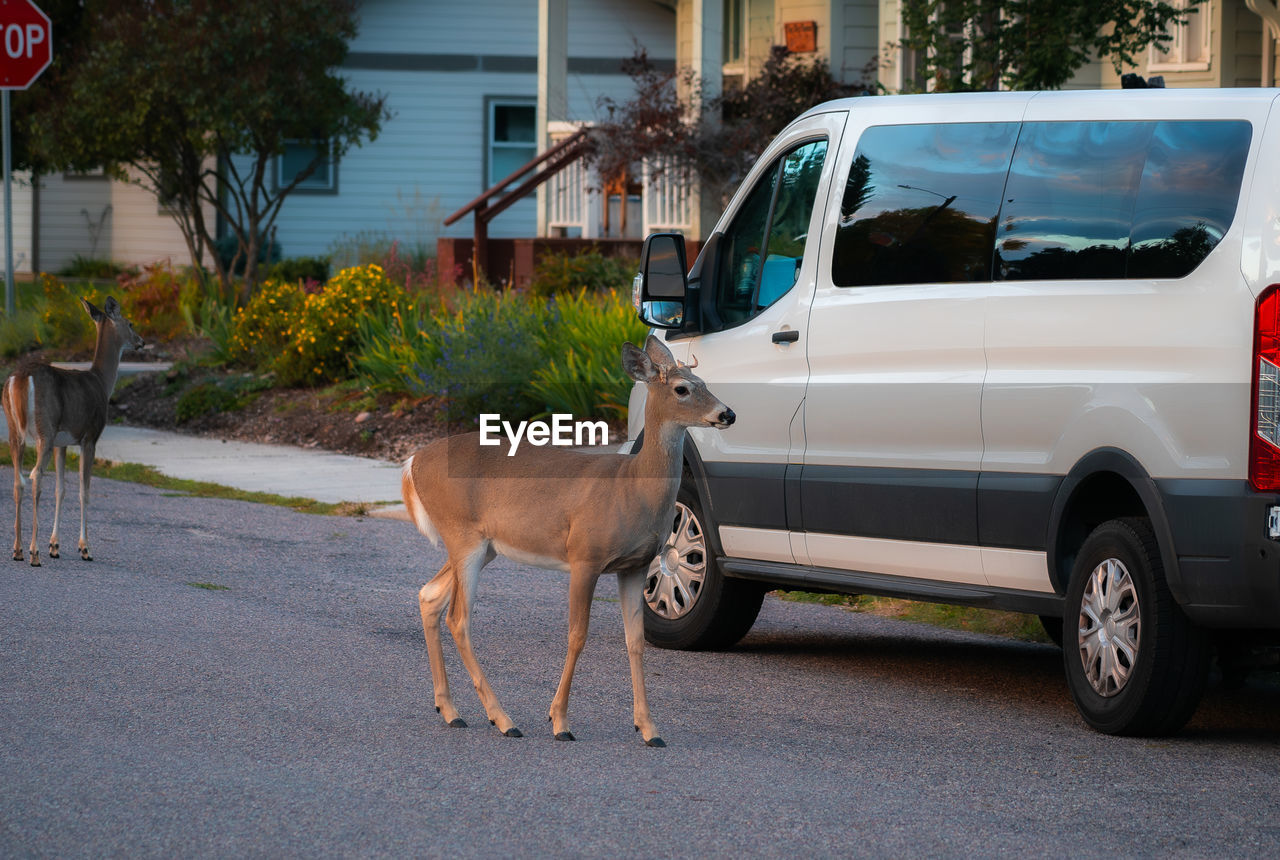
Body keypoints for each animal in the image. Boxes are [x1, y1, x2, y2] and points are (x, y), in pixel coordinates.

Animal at [2, 295, 145, 563]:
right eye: (130, 323)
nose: (142, 341)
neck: (102, 381)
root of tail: (21, 377)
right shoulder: (89, 437)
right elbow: (83, 491)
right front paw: (84, 548)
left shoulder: (63, 442)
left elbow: (61, 490)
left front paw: (55, 546)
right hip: (45, 429)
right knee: (35, 476)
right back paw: (33, 552)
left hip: (15, 430)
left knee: (18, 481)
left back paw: (17, 550)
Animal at [404, 335, 737, 747]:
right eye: (682, 389)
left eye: (704, 382)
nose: (728, 414)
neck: (633, 488)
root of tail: (413, 462)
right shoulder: (585, 555)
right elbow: (577, 635)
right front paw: (560, 721)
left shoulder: (635, 565)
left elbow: (635, 641)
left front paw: (649, 729)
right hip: (463, 534)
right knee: (459, 618)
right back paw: (503, 719)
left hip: (482, 545)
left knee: (429, 596)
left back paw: (451, 711)